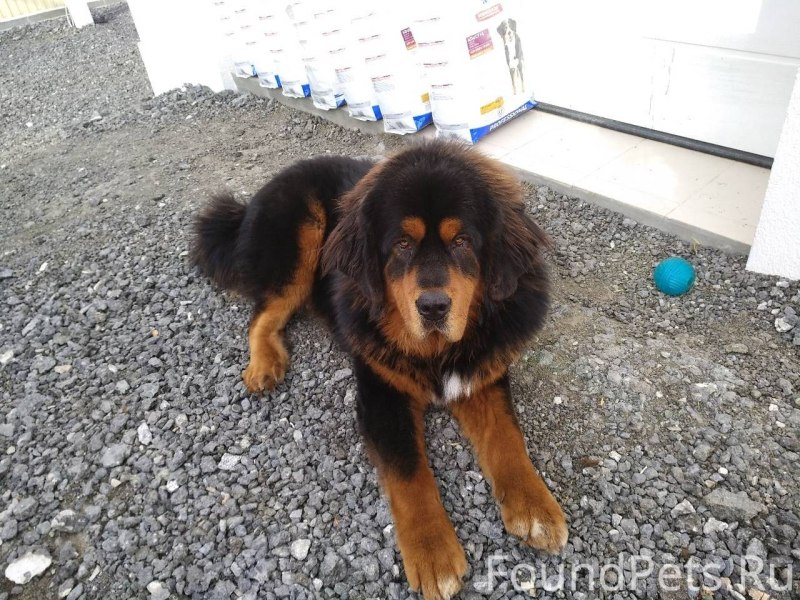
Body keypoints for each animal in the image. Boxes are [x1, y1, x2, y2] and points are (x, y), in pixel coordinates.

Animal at [192, 141, 567, 600]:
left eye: (462, 241)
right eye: (402, 244)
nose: (433, 307)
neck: (436, 351)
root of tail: (249, 205)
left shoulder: (482, 374)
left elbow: (509, 438)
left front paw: (535, 507)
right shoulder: (381, 393)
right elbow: (408, 473)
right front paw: (434, 553)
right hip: (301, 240)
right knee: (262, 315)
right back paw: (264, 364)